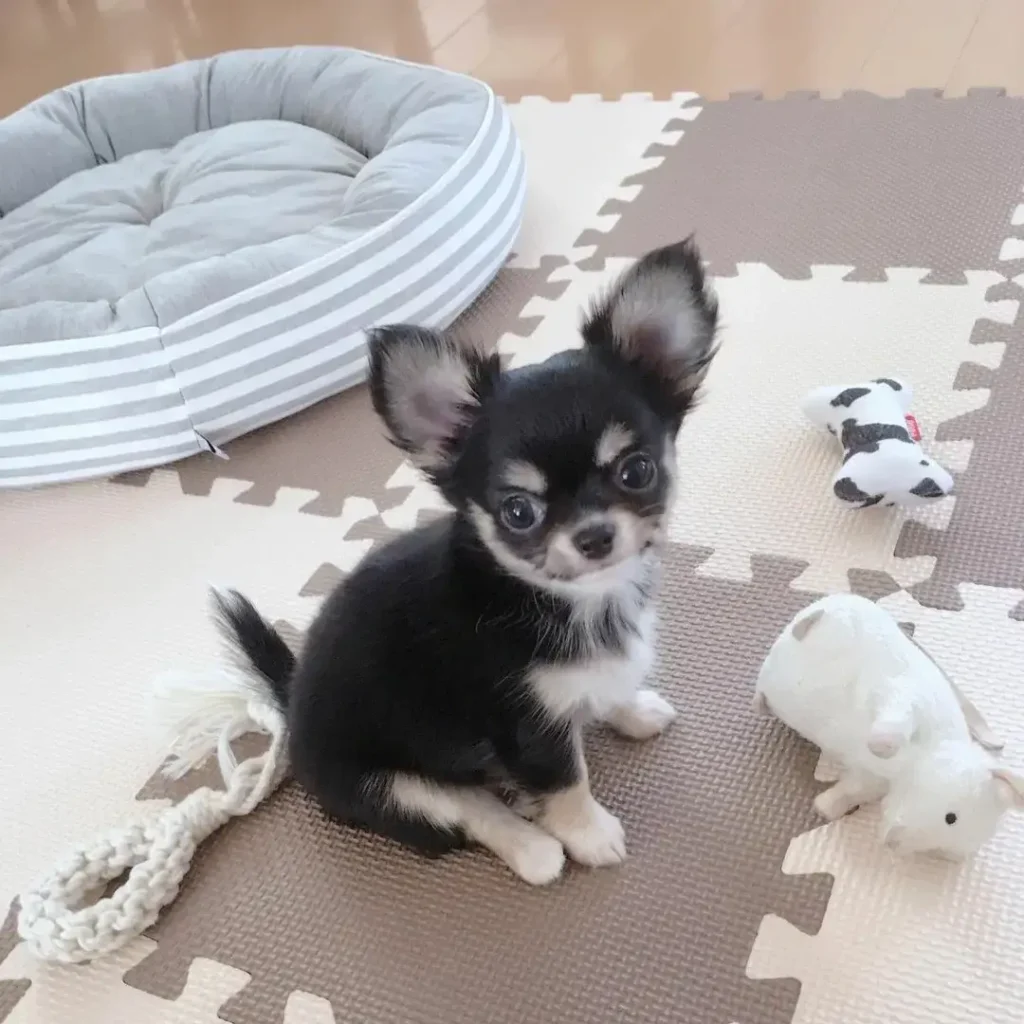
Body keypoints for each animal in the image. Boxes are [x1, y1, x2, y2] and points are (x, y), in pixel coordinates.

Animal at [215, 237, 720, 885]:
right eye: (518, 511)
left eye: (637, 471)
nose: (594, 536)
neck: (569, 600)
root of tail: (290, 697)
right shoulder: (528, 726)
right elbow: (566, 781)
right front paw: (591, 834)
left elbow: (608, 686)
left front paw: (631, 709)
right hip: (388, 783)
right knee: (468, 807)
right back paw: (534, 849)